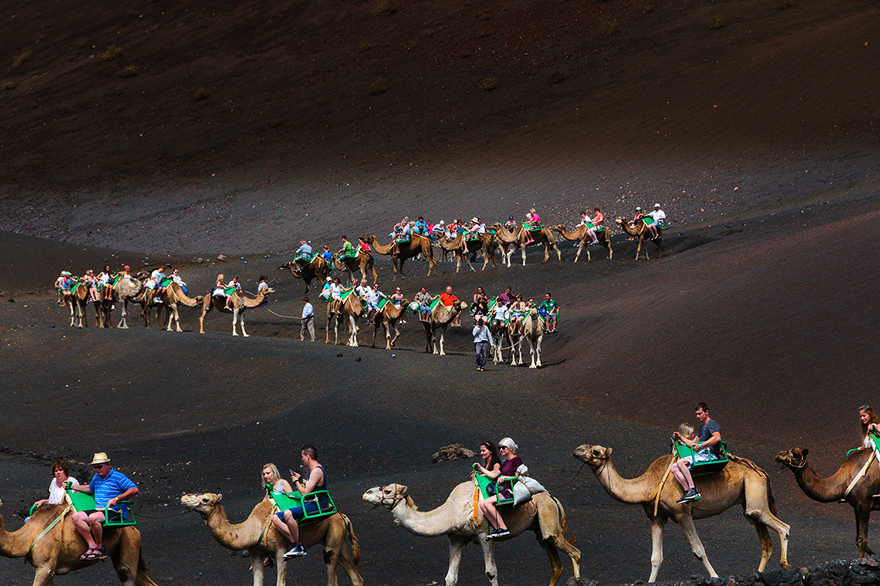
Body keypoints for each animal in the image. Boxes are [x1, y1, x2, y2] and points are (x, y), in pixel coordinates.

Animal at [180, 492, 362, 584]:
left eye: (205, 499)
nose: (183, 499)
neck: (253, 528)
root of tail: (342, 516)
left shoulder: (281, 551)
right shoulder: (256, 554)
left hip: (332, 538)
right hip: (337, 539)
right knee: (355, 577)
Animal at [360, 480, 580, 584]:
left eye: (388, 491)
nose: (365, 493)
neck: (451, 512)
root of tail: (552, 498)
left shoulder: (484, 534)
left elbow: (491, 572)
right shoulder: (456, 539)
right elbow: (450, 577)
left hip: (548, 517)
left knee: (574, 552)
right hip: (540, 530)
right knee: (556, 564)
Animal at [572, 442, 792, 580]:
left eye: (596, 451)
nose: (576, 450)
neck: (647, 485)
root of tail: (762, 471)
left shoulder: (682, 514)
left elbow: (699, 550)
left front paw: (715, 576)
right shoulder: (656, 517)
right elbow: (655, 557)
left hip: (755, 493)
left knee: (783, 527)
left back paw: (785, 564)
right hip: (748, 501)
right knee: (765, 541)